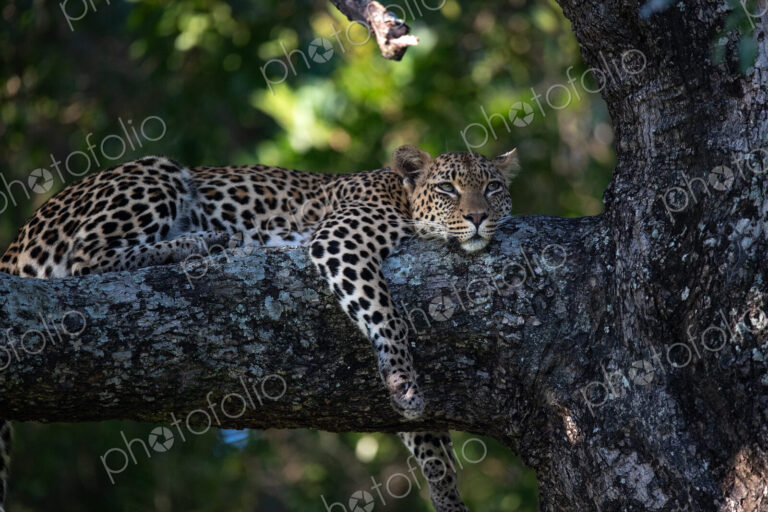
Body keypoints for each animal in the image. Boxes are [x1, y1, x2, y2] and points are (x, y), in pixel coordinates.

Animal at [0, 144, 519, 512]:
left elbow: (429, 441)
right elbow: (383, 311)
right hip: (154, 171)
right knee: (88, 257)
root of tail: (16, 242)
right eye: (448, 188)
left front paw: (446, 494)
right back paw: (203, 241)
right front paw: (402, 377)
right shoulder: (339, 239)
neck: (401, 196)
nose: (478, 217)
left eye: (493, 187)